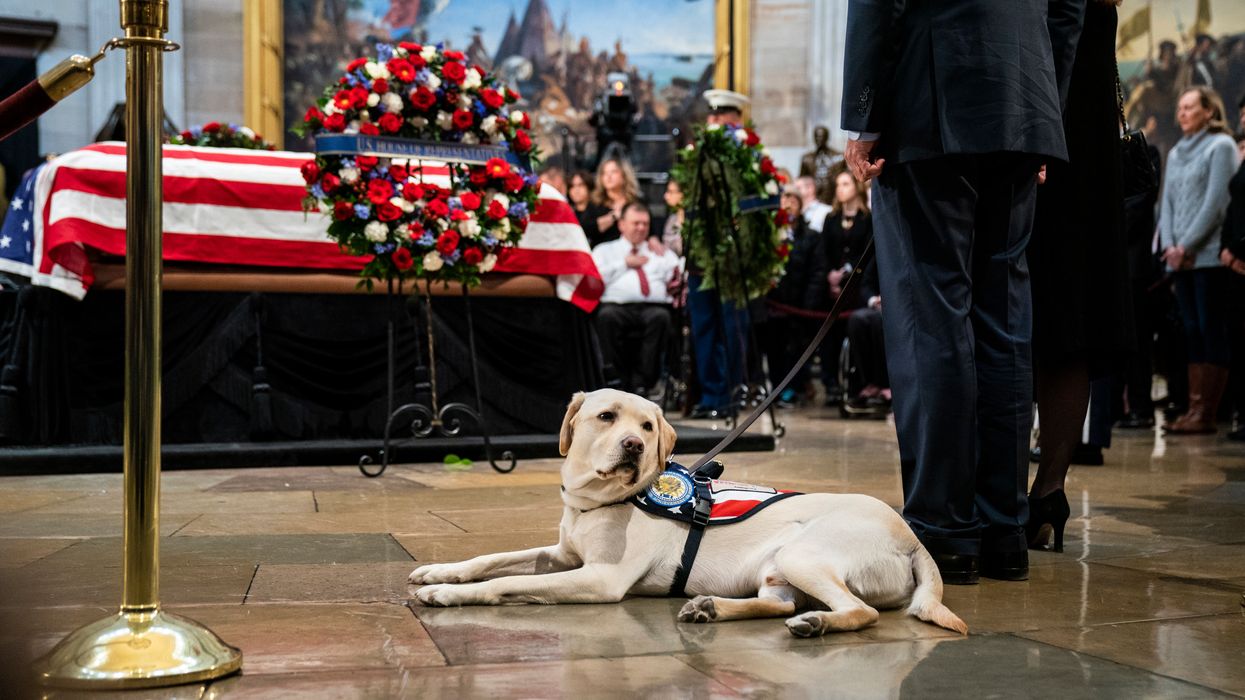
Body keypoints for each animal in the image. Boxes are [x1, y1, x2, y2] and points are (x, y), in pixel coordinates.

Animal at [408, 388, 961, 635]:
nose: (633, 445)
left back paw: (816, 624)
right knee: (779, 604)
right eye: (605, 417)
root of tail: (914, 539)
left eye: (648, 427)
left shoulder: (600, 578)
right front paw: (439, 571)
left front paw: (445, 594)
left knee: (861, 611)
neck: (598, 501)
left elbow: (508, 581)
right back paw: (710, 608)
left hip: (804, 554)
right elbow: (493, 559)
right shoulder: (565, 555)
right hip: (777, 571)